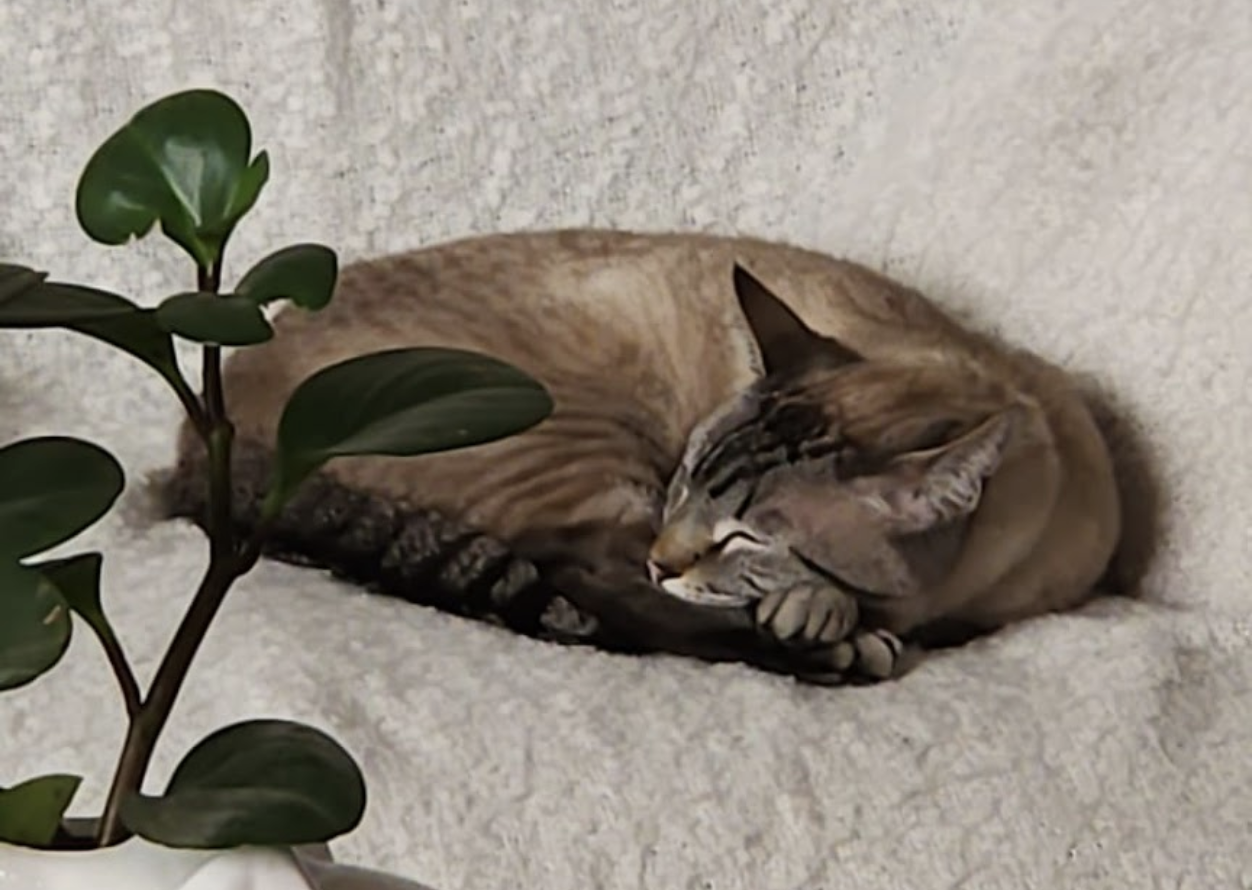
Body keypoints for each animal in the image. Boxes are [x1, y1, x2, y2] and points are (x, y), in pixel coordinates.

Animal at [156, 227, 1126, 680]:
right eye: (685, 482)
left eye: (744, 534)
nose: (671, 552)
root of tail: (199, 434)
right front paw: (825, 620)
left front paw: (820, 608)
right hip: (572, 441)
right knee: (602, 588)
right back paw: (831, 651)